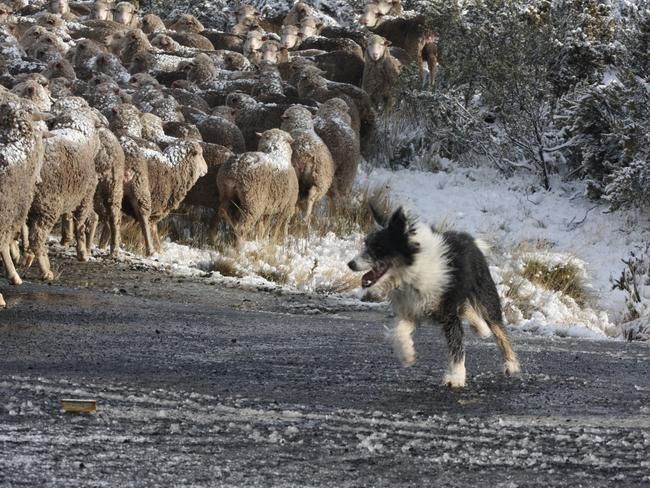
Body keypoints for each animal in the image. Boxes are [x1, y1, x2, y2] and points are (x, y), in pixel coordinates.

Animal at [23, 99, 101, 280]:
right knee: (37, 236)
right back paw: (46, 271)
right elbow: (80, 226)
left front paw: (27, 255)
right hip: (48, 205)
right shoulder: (85, 197)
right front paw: (82, 253)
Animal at [346, 206, 520, 388]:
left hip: (484, 294)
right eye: (366, 244)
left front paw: (455, 377)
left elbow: (456, 344)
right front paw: (407, 355)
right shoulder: (412, 309)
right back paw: (480, 328)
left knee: (498, 328)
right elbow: (397, 332)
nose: (351, 264)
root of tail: (471, 240)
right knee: (466, 309)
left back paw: (510, 364)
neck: (411, 273)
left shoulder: (448, 313)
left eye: (379, 248)